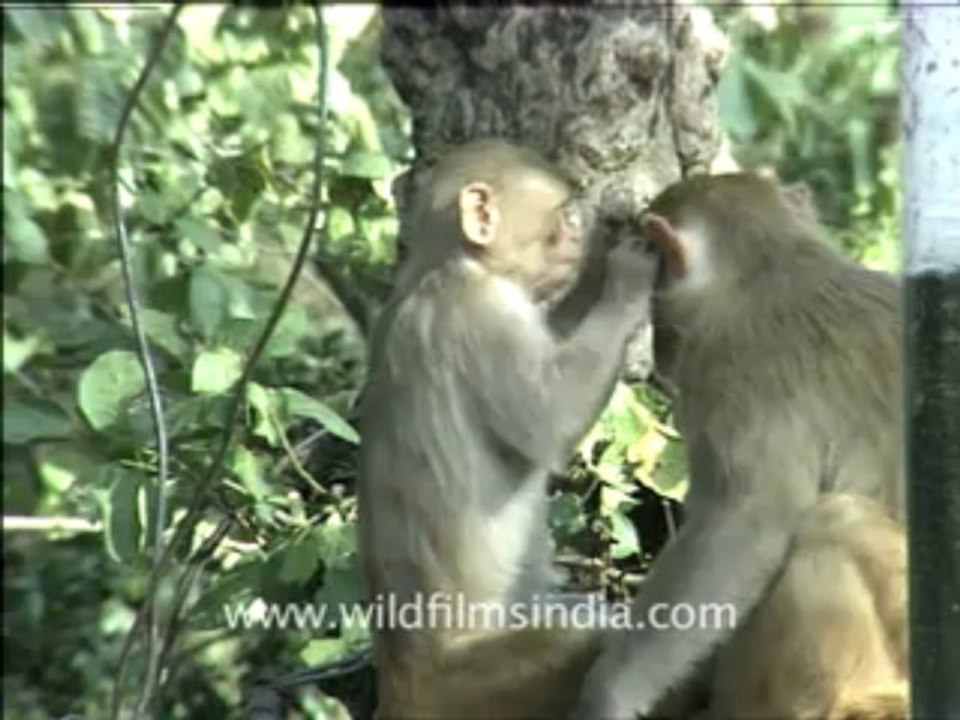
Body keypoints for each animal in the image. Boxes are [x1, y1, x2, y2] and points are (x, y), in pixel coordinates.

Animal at [356, 138, 660, 719]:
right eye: (561, 218)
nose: (580, 237)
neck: (443, 267)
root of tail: (397, 686)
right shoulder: (483, 314)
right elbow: (550, 420)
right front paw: (626, 278)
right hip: (473, 689)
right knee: (582, 634)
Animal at [571, 172, 902, 719]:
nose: (660, 349)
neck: (772, 268)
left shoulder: (732, 377)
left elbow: (744, 527)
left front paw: (610, 692)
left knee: (836, 519)